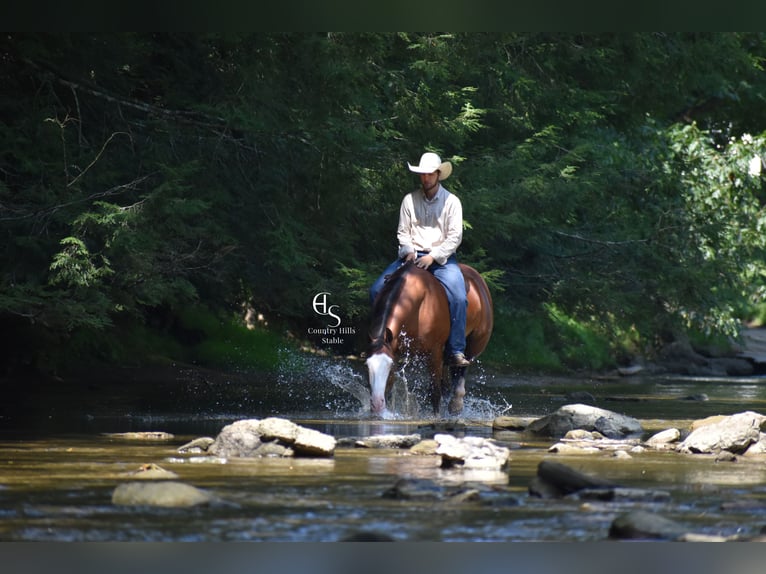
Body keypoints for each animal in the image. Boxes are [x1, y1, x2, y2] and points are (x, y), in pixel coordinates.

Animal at [366, 261, 493, 417]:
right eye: (367, 365)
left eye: (389, 366)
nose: (376, 405)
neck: (418, 305)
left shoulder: (434, 353)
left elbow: (434, 392)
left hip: (472, 346)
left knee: (460, 371)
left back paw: (456, 404)